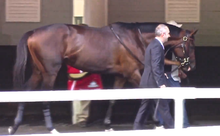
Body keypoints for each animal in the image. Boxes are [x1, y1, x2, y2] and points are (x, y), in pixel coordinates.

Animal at [8, 21, 198, 133]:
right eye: (190, 44)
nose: (191, 66)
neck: (136, 38)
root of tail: (33, 32)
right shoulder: (133, 73)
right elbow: (149, 97)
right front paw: (157, 122)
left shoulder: (122, 75)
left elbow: (113, 99)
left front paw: (107, 124)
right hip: (49, 72)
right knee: (44, 97)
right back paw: (51, 128)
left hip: (38, 71)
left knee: (26, 92)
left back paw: (15, 125)